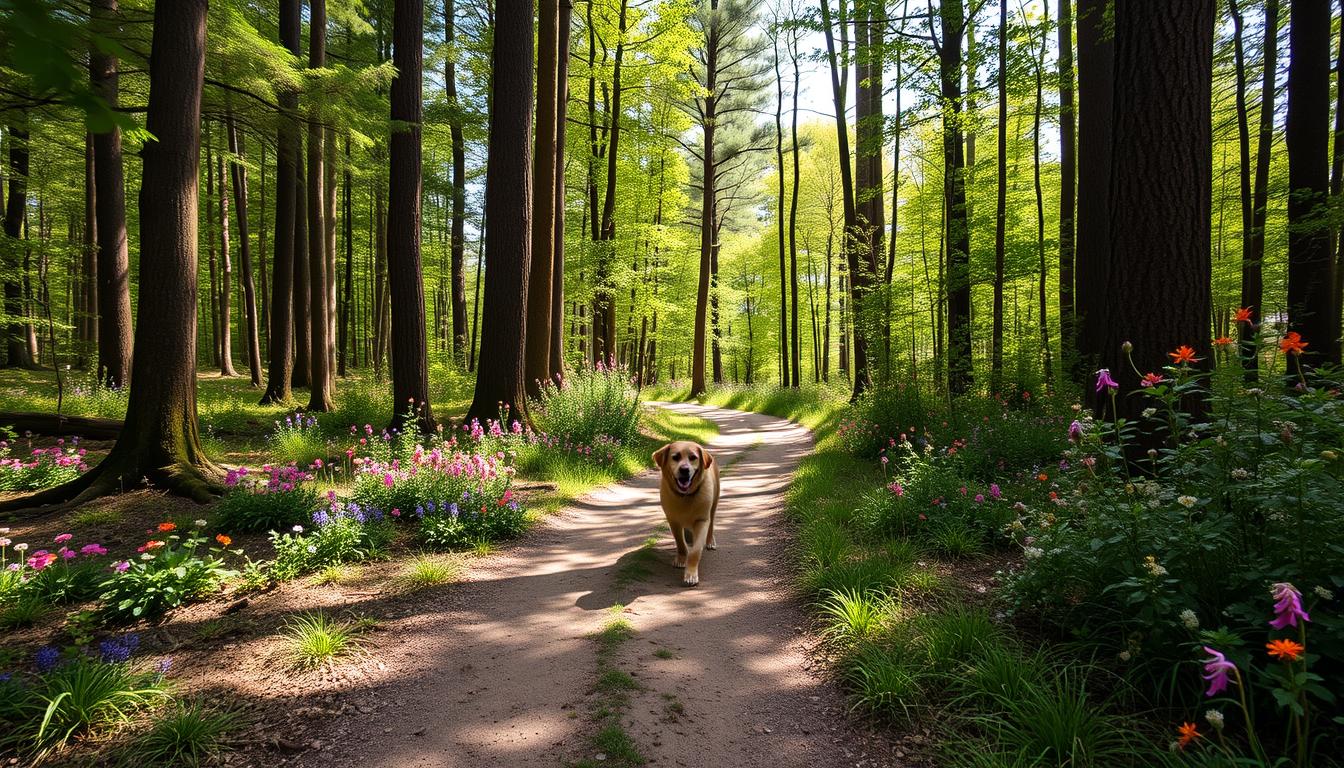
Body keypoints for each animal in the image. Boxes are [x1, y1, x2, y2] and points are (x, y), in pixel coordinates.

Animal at [653, 441, 720, 586]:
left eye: (693, 457)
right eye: (675, 457)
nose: (684, 469)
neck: (685, 496)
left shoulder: (701, 520)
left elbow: (695, 550)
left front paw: (691, 575)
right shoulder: (673, 521)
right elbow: (681, 543)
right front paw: (681, 559)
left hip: (714, 504)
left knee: (711, 523)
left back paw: (710, 541)